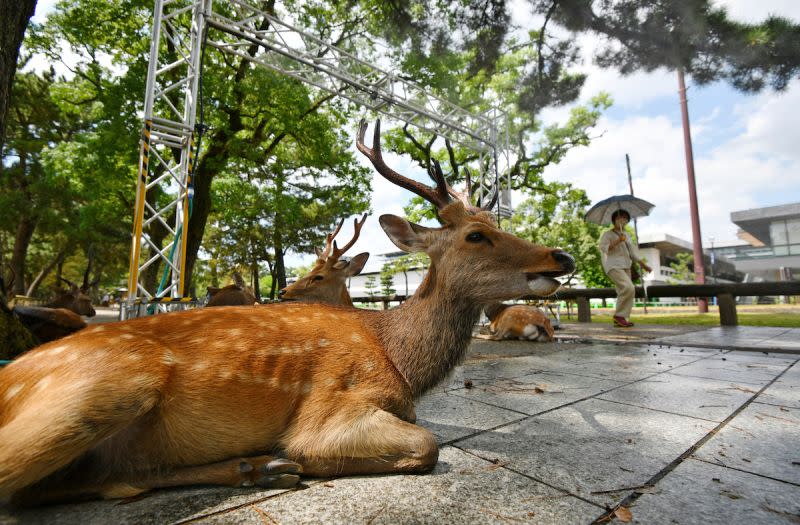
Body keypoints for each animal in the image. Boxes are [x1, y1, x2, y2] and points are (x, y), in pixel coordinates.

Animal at [0, 121, 576, 506]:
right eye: (477, 235)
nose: (563, 257)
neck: (398, 359)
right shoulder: (332, 404)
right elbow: (425, 444)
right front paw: (302, 460)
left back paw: (259, 469)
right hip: (107, 384)